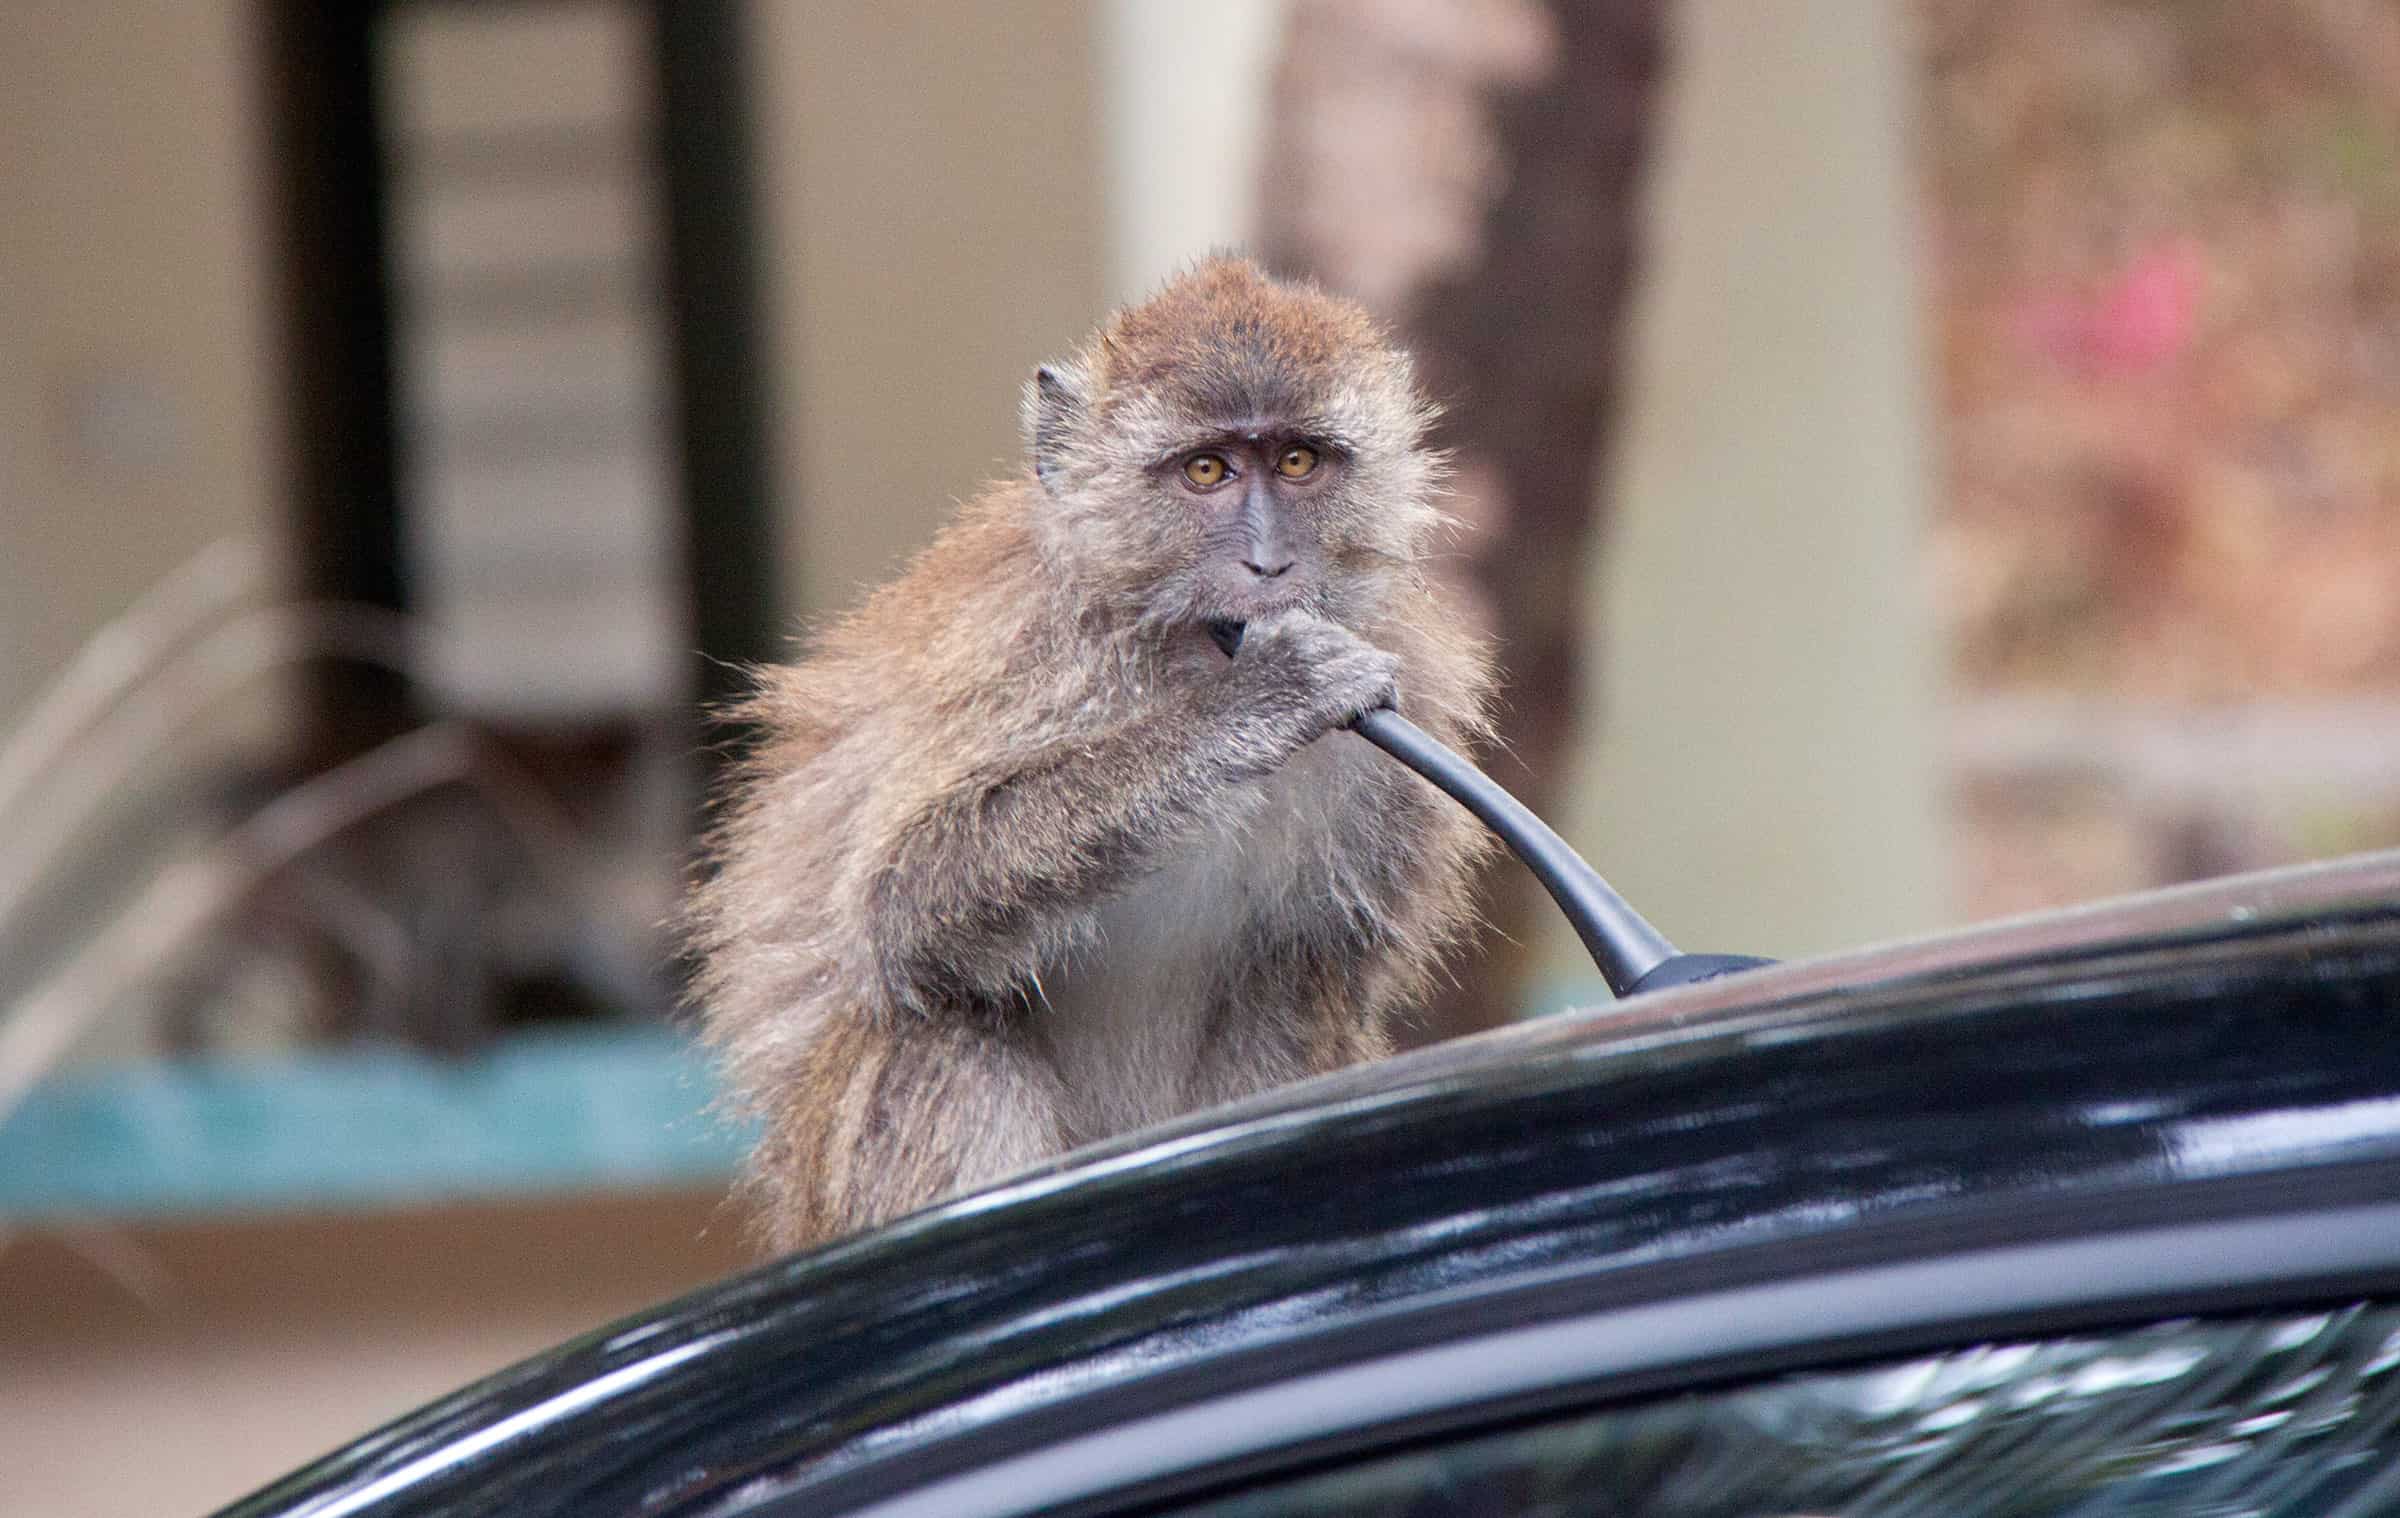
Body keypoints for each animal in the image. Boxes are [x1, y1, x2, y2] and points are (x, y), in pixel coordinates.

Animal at [686, 260, 1488, 1248]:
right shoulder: (1021, 647)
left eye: (1298, 461)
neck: (1177, 649)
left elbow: (1316, 972)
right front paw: (1258, 703)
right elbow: (905, 894)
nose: (1269, 567)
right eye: (1207, 470)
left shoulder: (1418, 694)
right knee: (942, 1035)